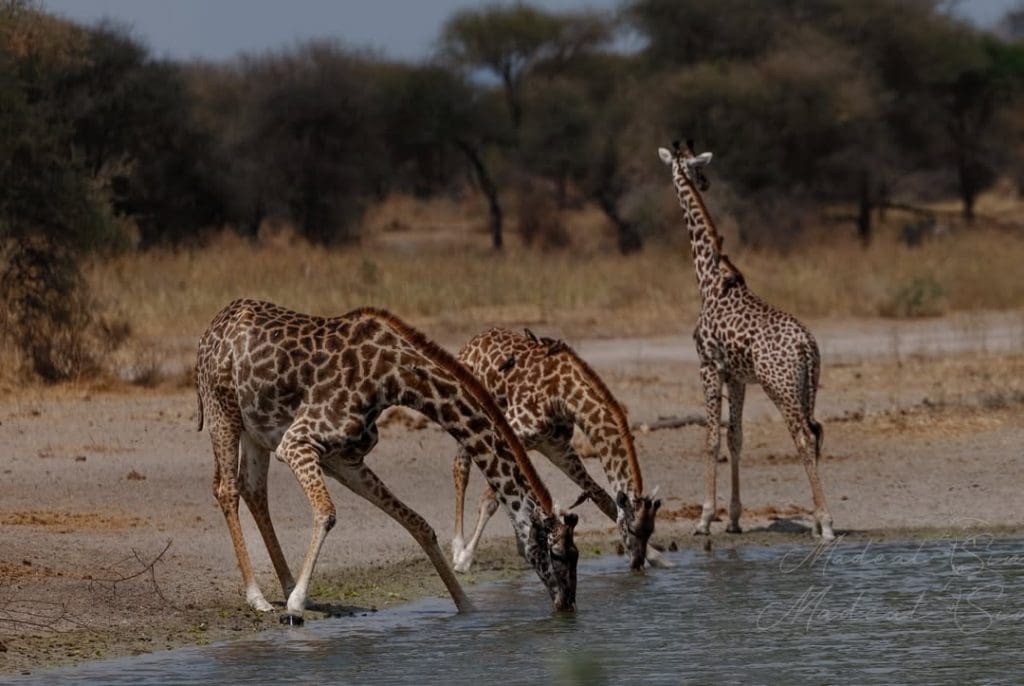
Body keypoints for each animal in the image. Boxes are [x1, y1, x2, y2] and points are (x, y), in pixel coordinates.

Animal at [196, 299, 580, 625]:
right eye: (560, 553)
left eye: (576, 554)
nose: (566, 605)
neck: (396, 379)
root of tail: (211, 328)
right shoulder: (298, 442)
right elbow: (327, 512)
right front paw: (295, 604)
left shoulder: (345, 461)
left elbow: (418, 524)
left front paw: (466, 606)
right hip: (222, 411)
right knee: (228, 489)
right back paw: (257, 596)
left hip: (256, 429)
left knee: (253, 490)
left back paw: (285, 583)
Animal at [449, 328, 663, 572]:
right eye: (634, 529)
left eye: (651, 530)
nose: (637, 563)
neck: (565, 396)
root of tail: (472, 341)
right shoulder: (507, 433)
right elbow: (490, 499)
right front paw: (465, 558)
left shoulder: (556, 447)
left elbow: (602, 497)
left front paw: (656, 557)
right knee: (460, 470)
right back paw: (457, 547)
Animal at [657, 140, 835, 541]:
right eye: (697, 169)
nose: (704, 182)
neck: (709, 279)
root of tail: (807, 346)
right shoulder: (736, 376)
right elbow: (735, 438)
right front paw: (735, 519)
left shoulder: (707, 366)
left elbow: (711, 439)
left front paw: (705, 518)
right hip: (806, 387)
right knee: (815, 434)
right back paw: (817, 521)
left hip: (779, 387)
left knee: (803, 437)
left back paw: (827, 522)